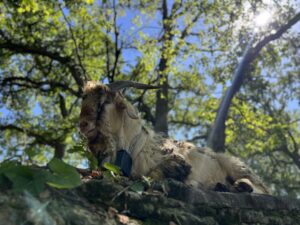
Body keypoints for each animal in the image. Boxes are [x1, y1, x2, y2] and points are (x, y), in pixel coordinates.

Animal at [79, 81, 270, 194]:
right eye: (84, 100)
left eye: (104, 103)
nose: (83, 125)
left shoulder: (175, 161)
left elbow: (155, 173)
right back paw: (222, 186)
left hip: (237, 166)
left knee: (261, 189)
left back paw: (237, 185)